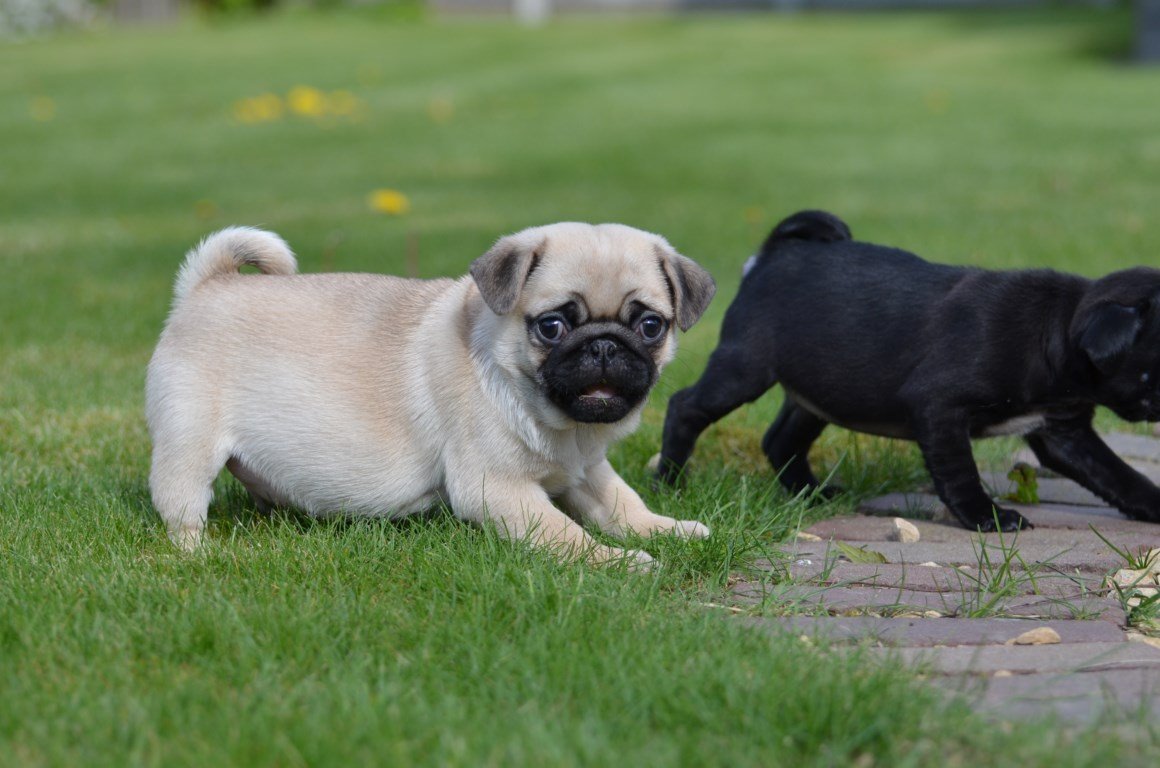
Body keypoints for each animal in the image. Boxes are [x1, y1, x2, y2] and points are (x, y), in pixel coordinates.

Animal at [146, 221, 714, 566]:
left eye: (650, 326)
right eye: (551, 326)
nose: (603, 345)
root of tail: (208, 285)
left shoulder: (586, 468)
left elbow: (621, 503)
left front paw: (665, 530)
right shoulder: (497, 486)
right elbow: (563, 533)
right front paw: (617, 561)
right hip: (190, 444)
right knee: (181, 506)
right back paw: (199, 553)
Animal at [658, 211, 1160, 535]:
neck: (1057, 327)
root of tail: (774, 253)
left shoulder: (1065, 432)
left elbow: (1117, 474)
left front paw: (1153, 503)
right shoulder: (940, 408)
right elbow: (960, 473)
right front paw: (987, 517)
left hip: (818, 394)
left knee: (781, 440)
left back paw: (811, 493)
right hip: (744, 369)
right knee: (686, 408)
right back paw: (670, 481)